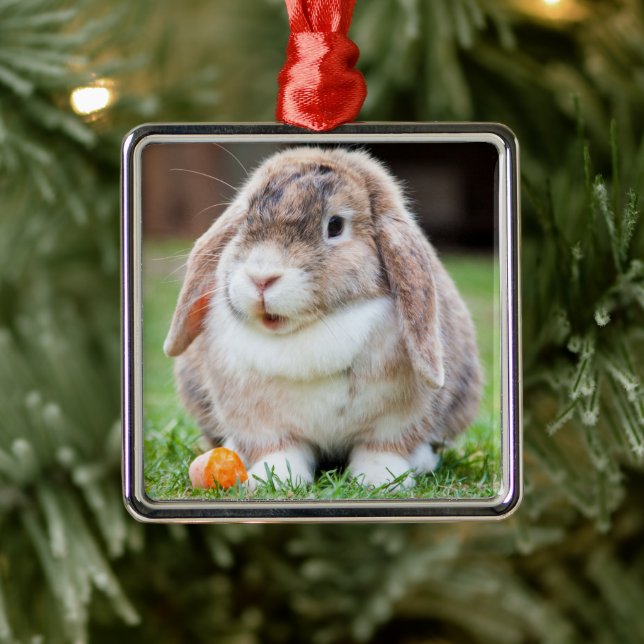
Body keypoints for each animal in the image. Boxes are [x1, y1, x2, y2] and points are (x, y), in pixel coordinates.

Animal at [164, 146, 482, 489]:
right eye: (246, 219)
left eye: (335, 226)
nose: (261, 278)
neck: (309, 330)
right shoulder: (261, 423)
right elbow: (280, 450)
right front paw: (274, 480)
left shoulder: (395, 421)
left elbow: (381, 449)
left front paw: (380, 480)